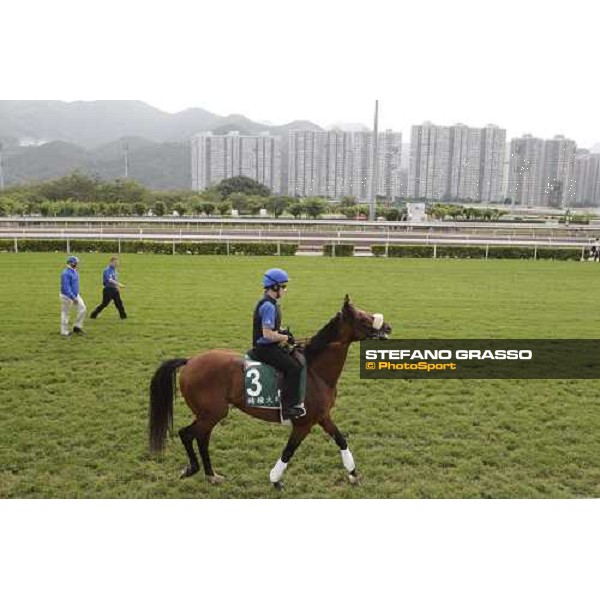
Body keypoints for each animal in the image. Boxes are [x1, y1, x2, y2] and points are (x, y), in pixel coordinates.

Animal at [149, 296, 392, 488]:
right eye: (363, 318)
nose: (387, 327)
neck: (316, 371)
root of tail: (190, 361)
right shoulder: (303, 424)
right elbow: (288, 451)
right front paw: (275, 480)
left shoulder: (323, 416)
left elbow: (341, 440)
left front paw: (353, 475)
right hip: (213, 413)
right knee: (187, 434)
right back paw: (192, 469)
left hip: (208, 415)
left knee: (201, 438)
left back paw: (211, 475)